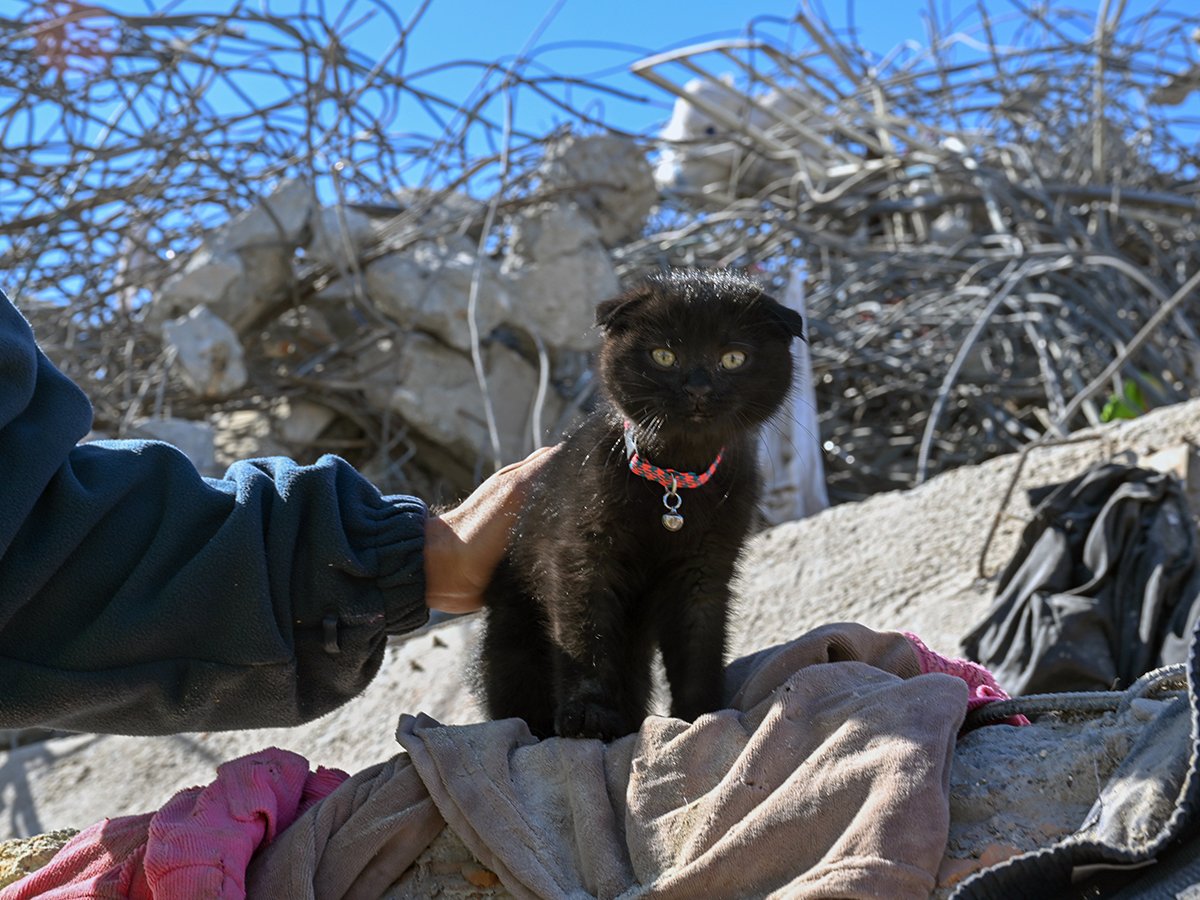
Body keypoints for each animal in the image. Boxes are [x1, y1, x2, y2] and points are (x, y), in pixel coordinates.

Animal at [477, 267, 806, 739]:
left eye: (732, 359)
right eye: (664, 356)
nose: (698, 387)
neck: (675, 482)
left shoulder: (705, 568)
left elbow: (699, 644)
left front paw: (699, 715)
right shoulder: (581, 556)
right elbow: (584, 638)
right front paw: (588, 716)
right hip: (514, 640)